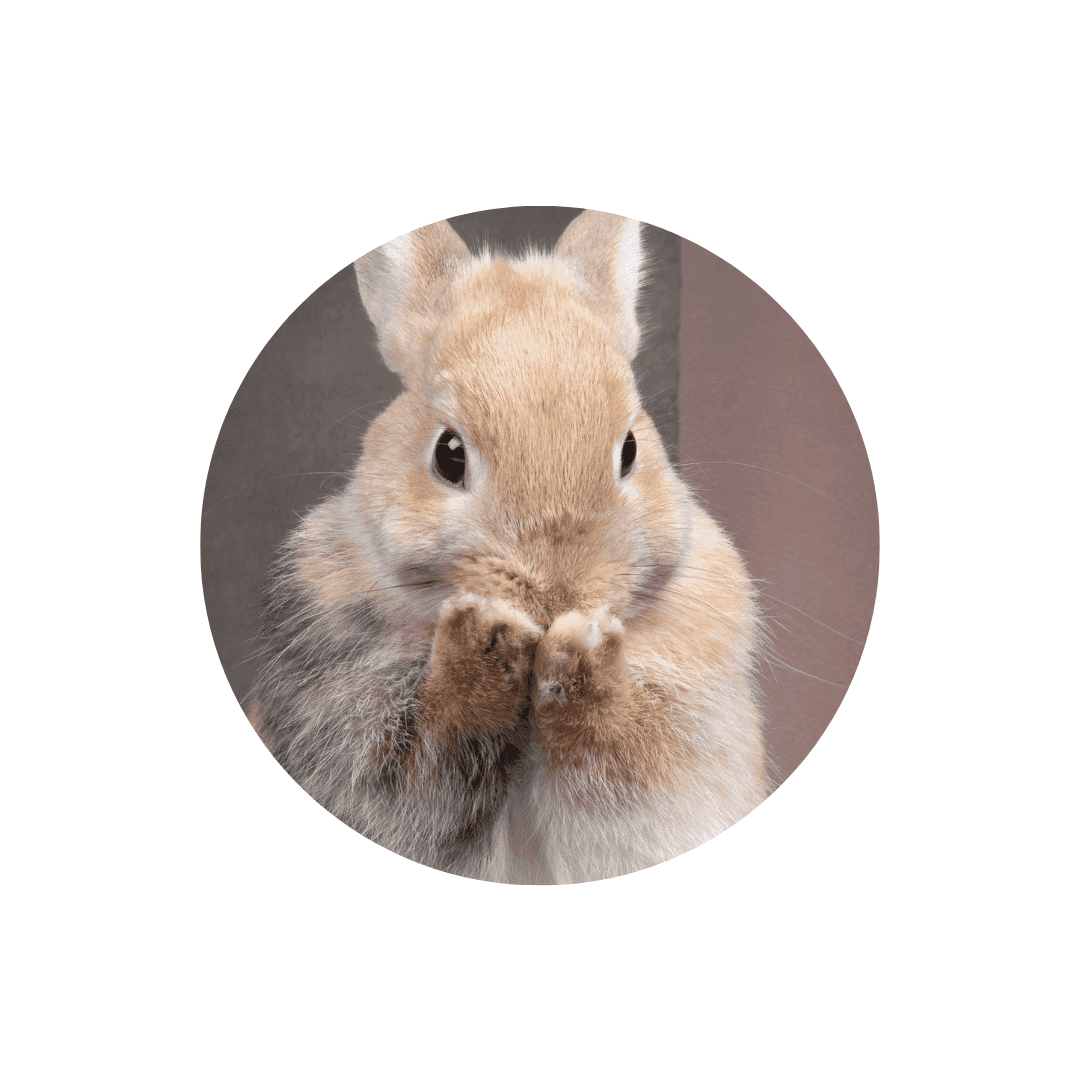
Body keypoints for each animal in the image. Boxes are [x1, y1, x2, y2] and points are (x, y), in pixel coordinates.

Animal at [250, 210, 769, 884]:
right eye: (448, 453)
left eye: (630, 449)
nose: (556, 595)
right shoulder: (343, 721)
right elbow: (424, 759)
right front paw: (486, 638)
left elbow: (623, 752)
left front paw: (583, 652)